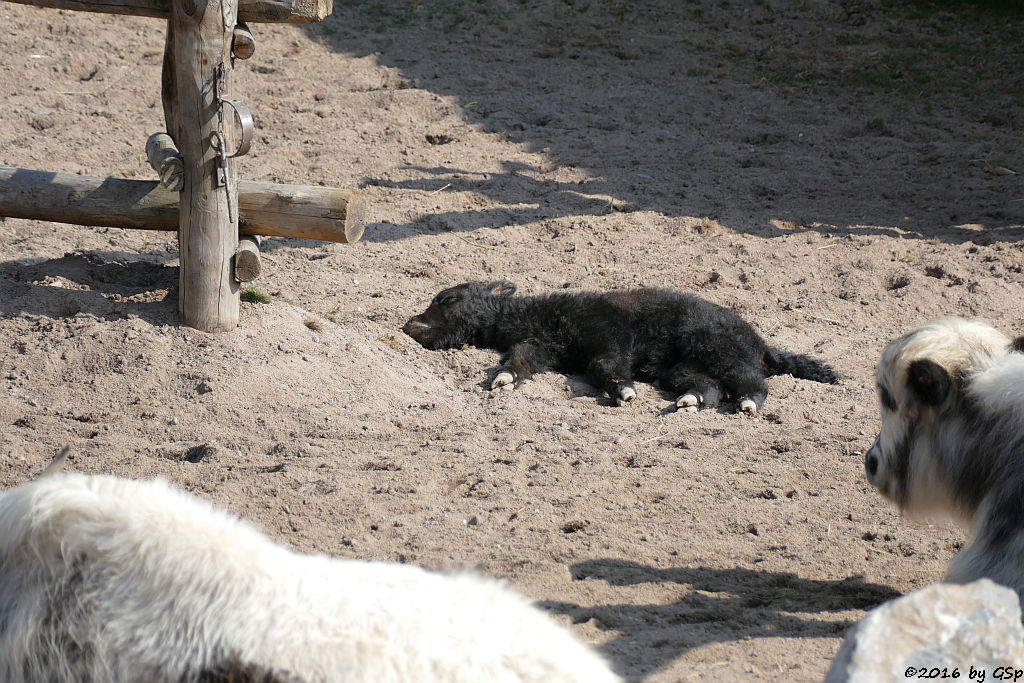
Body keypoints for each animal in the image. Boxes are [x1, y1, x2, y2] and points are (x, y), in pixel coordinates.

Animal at [401, 280, 839, 413]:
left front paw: (625, 391)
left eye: (446, 299)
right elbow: (518, 361)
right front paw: (503, 379)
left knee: (752, 382)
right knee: (712, 389)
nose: (409, 324)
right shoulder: (541, 346)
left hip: (716, 347)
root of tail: (762, 344)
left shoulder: (610, 340)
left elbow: (605, 368)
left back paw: (747, 402)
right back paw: (689, 402)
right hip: (683, 368)